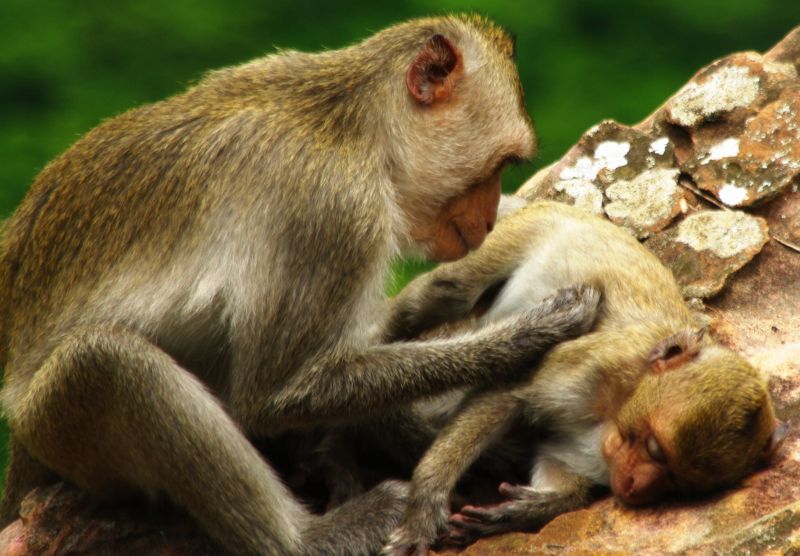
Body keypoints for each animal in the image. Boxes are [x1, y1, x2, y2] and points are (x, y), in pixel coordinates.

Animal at [384, 199, 784, 552]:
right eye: (654, 449)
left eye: (678, 482)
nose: (636, 487)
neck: (623, 403)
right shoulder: (595, 362)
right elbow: (508, 393)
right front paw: (425, 503)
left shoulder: (601, 458)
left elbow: (558, 461)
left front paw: (527, 509)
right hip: (518, 231)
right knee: (448, 293)